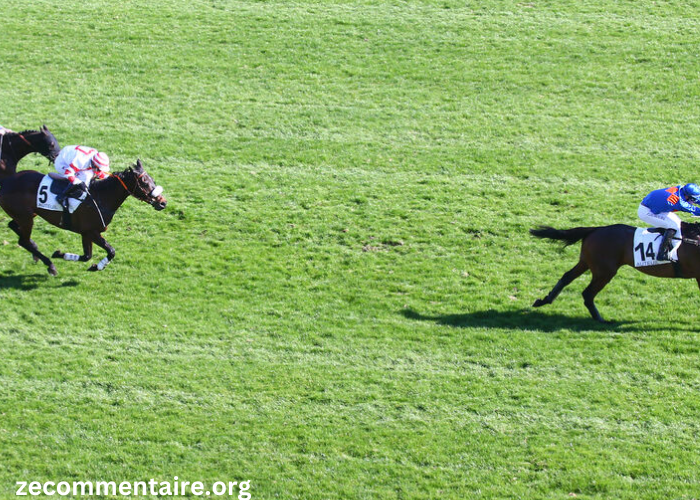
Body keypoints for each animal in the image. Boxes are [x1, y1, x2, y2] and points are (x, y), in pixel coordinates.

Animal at [0, 160, 167, 276]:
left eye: (152, 180)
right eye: (144, 182)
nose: (163, 202)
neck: (101, 197)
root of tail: (5, 182)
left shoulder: (85, 233)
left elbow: (87, 256)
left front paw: (63, 255)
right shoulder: (91, 231)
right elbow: (111, 251)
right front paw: (96, 266)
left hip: (28, 215)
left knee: (14, 227)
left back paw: (36, 253)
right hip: (26, 217)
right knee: (23, 241)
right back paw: (49, 265)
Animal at [528, 224, 700, 324]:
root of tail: (595, 229)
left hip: (586, 262)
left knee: (567, 277)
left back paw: (544, 300)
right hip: (604, 271)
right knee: (587, 293)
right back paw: (600, 320)